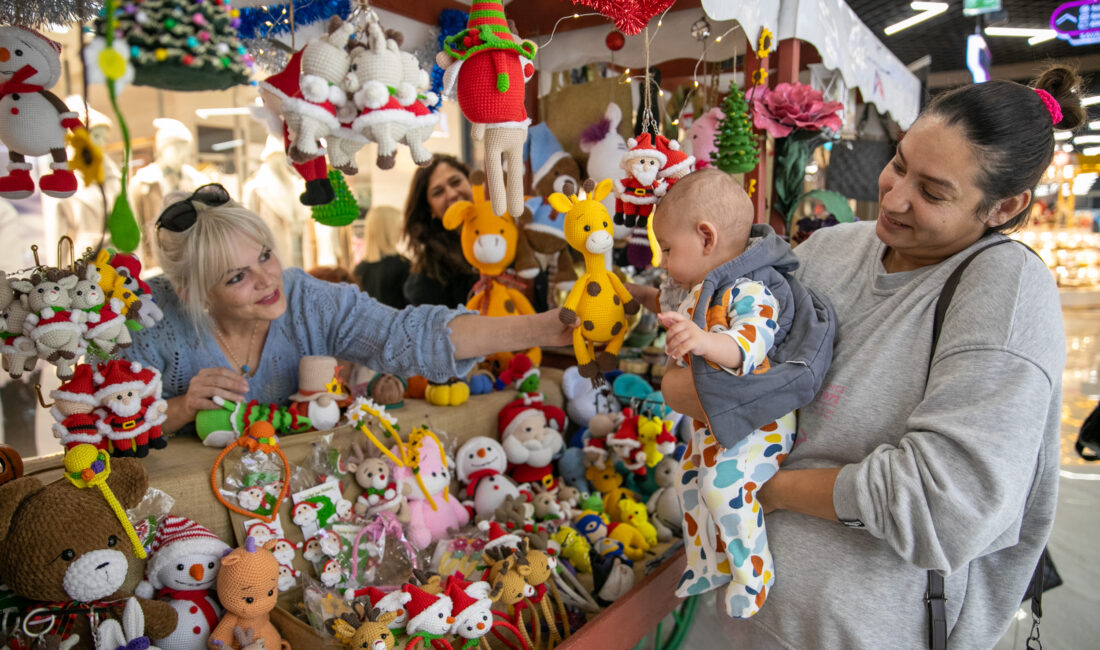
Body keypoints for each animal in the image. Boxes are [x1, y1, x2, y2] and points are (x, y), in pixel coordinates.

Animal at [547, 178, 638, 380]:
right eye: (586, 228)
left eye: (605, 223)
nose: (603, 238)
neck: (597, 272)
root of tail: (595, 340)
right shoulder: (583, 280)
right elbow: (570, 305)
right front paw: (566, 316)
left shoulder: (610, 276)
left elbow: (623, 292)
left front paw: (633, 306)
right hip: (580, 331)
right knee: (580, 344)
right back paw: (589, 367)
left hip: (620, 326)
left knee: (619, 334)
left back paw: (607, 361)